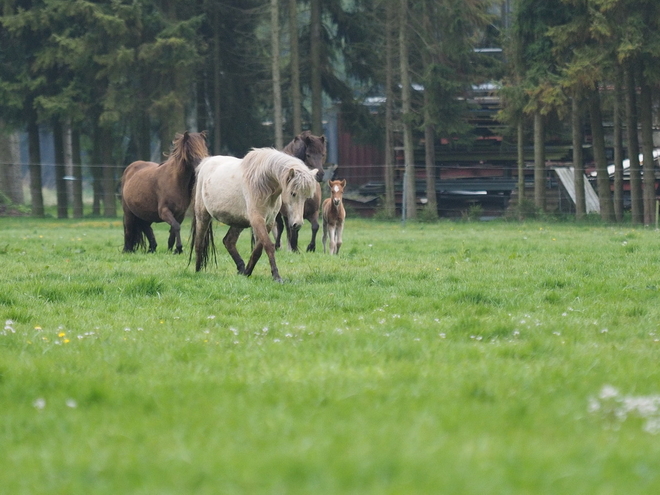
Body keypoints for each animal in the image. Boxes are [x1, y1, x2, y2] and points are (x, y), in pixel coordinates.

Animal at [191, 147, 318, 282]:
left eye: (306, 197)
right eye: (293, 193)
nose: (297, 224)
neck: (263, 182)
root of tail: (206, 162)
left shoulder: (268, 222)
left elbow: (258, 250)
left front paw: (248, 272)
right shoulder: (257, 219)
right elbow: (268, 246)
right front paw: (276, 276)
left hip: (238, 222)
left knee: (228, 241)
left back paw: (241, 268)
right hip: (202, 217)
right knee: (199, 243)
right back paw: (198, 271)